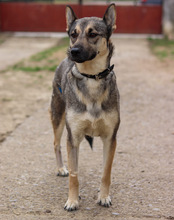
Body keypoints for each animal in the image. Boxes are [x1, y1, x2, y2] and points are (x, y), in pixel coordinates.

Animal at [49, 3, 119, 210]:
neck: (92, 78)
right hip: (58, 117)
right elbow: (74, 175)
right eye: (73, 34)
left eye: (93, 34)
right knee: (56, 144)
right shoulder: (73, 138)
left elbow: (106, 173)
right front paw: (72, 201)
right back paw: (61, 168)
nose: (73, 51)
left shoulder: (110, 139)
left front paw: (104, 197)